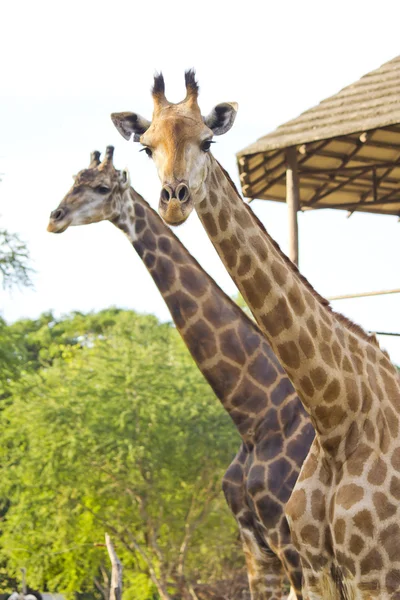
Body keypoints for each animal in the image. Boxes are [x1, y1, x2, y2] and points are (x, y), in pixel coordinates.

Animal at [48, 146, 314, 600]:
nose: (55, 217)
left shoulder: (291, 541)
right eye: (72, 180)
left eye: (101, 188)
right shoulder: (255, 545)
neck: (255, 417)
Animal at [111, 71, 400, 600]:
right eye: (146, 147)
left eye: (208, 140)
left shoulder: (378, 574)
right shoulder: (316, 571)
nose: (174, 201)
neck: (337, 413)